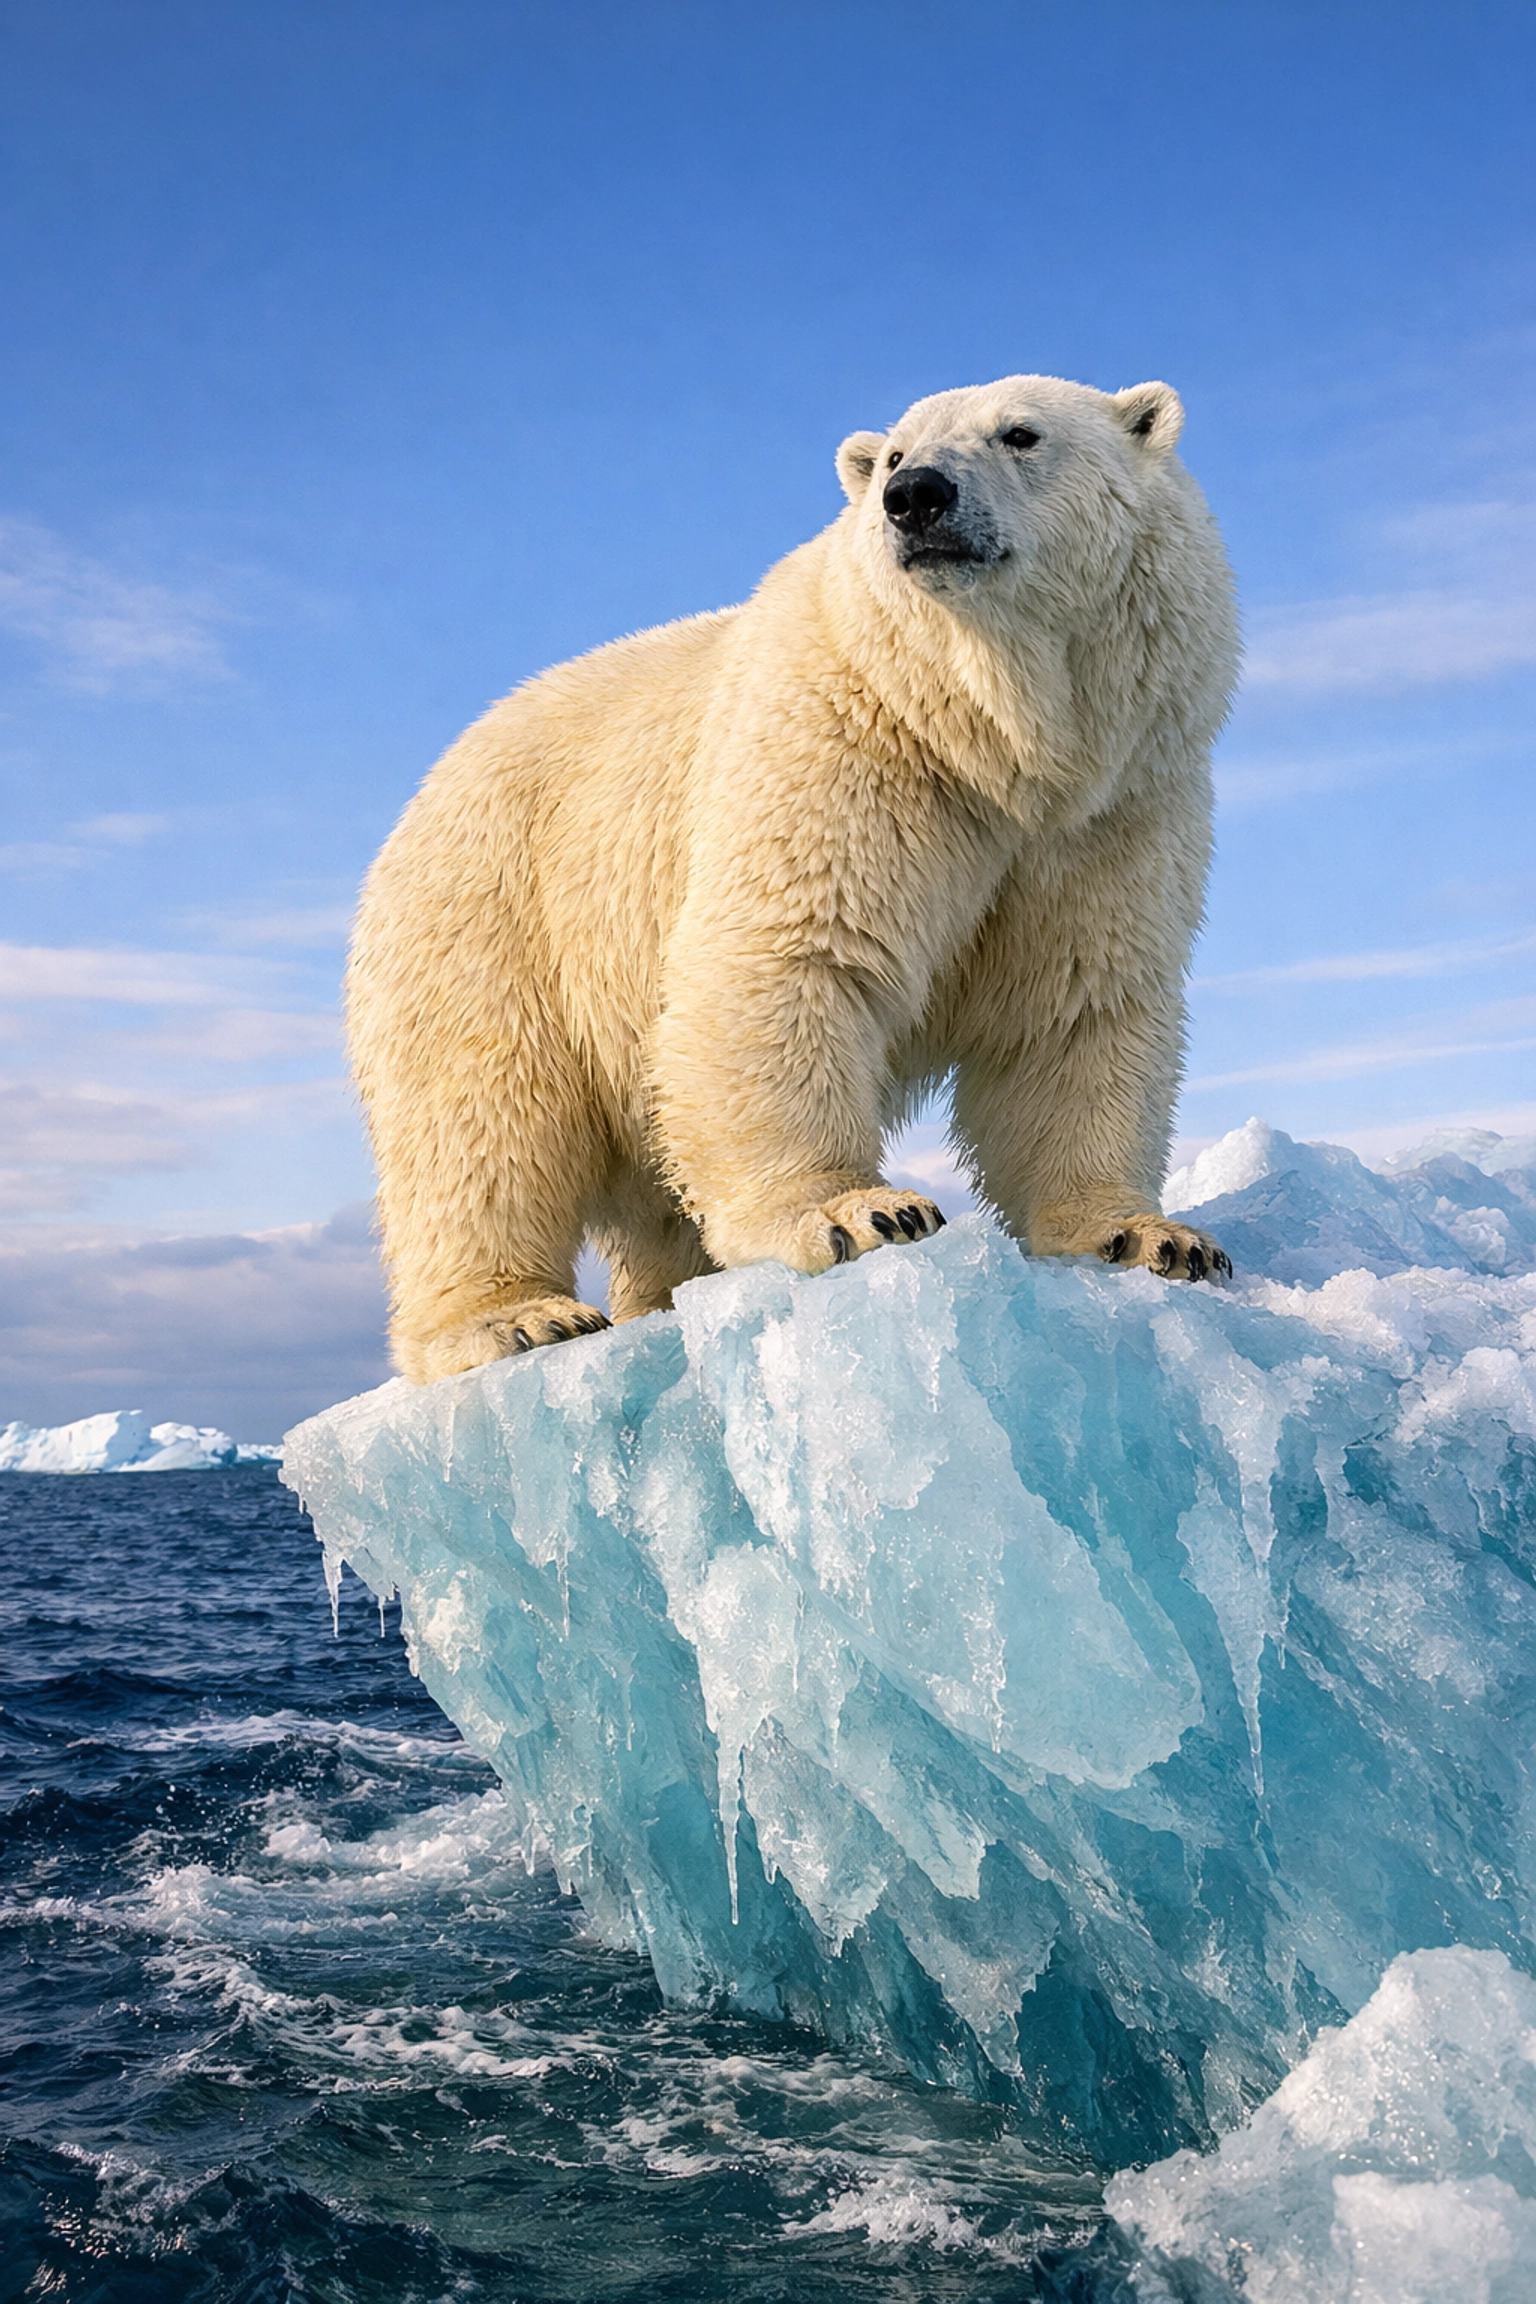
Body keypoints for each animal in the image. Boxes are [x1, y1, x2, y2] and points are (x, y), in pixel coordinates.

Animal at [349, 373, 1239, 1383]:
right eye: (893, 454)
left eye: (1021, 433)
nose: (916, 497)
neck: (993, 741)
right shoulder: (846, 741)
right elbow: (789, 951)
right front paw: (863, 1211)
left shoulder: (1113, 809)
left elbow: (1076, 1008)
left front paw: (1151, 1239)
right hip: (491, 911)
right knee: (482, 1121)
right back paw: (517, 1318)